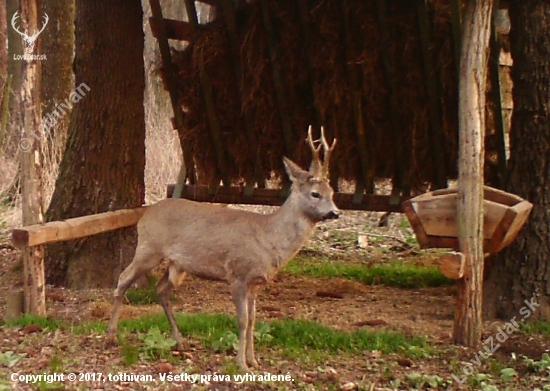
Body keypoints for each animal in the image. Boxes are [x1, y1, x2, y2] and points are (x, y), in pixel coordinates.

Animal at [106, 126, 340, 370]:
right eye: (315, 193)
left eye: (332, 191)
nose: (335, 212)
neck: (268, 238)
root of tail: (145, 214)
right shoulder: (237, 274)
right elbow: (243, 320)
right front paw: (241, 364)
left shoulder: (255, 283)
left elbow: (253, 319)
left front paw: (253, 360)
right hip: (149, 248)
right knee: (123, 278)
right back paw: (110, 337)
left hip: (177, 265)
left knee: (160, 289)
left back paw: (180, 342)